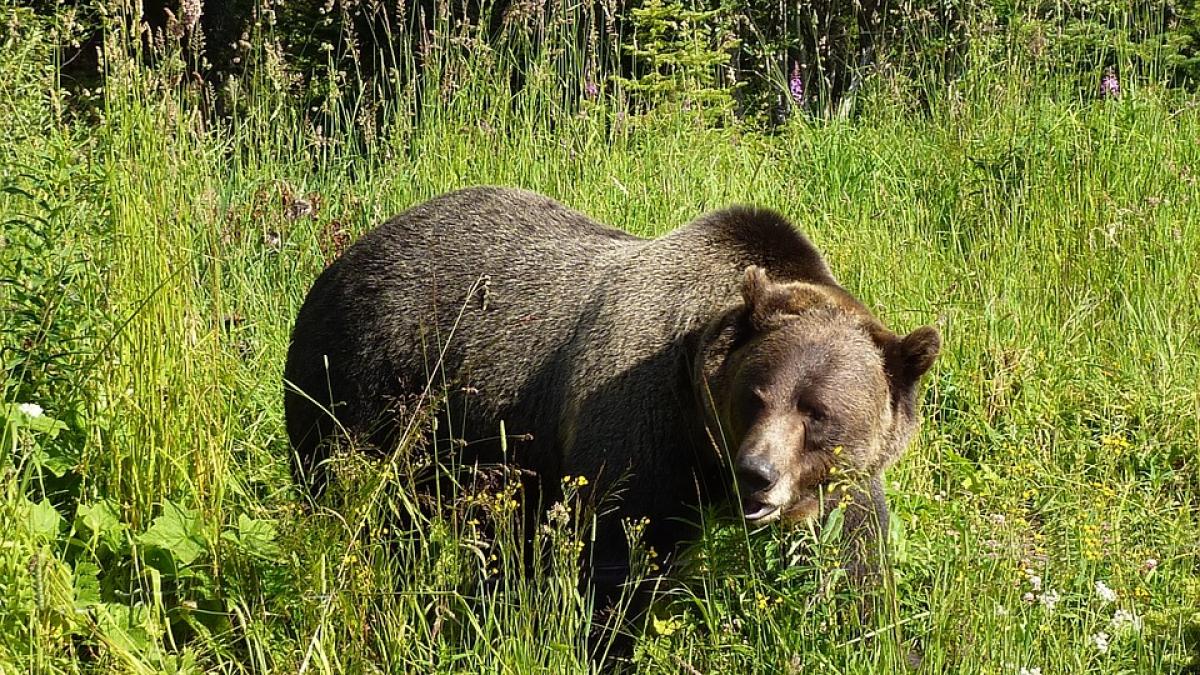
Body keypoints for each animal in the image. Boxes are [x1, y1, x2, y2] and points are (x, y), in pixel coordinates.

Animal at [283, 186, 939, 599]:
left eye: (817, 413)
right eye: (754, 396)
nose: (756, 473)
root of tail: (347, 253)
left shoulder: (841, 482)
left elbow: (856, 557)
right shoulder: (640, 425)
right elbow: (618, 554)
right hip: (364, 384)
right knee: (347, 494)